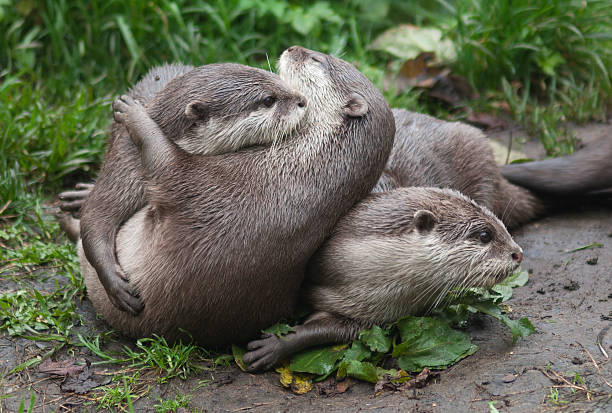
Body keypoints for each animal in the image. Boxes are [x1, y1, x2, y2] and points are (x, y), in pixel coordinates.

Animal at [63, 45, 396, 344]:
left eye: (317, 60)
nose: (292, 48)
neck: (303, 169)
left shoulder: (202, 184)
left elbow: (163, 160)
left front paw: (135, 115)